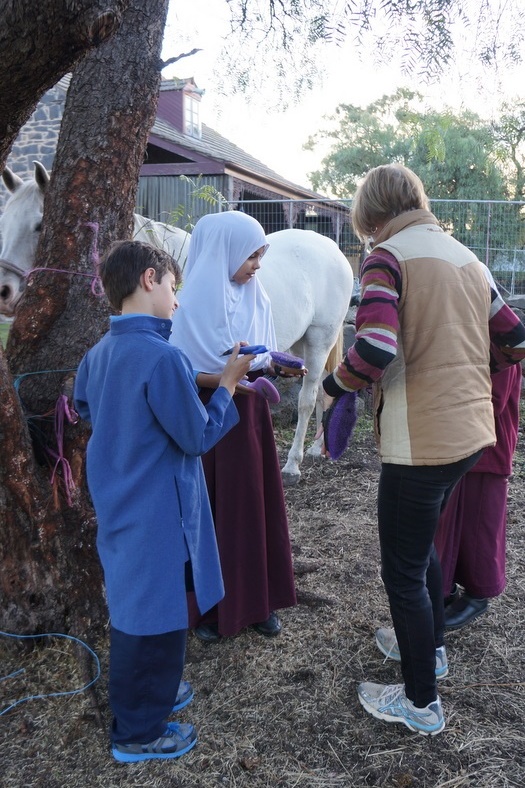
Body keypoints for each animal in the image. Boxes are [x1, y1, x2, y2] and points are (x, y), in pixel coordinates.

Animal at [2, 164, 354, 484]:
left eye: (40, 225)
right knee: (321, 389)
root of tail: (331, 248)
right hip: (301, 344)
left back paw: (293, 464)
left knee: (308, 397)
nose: (4, 292)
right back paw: (317, 447)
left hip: (319, 339)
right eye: (4, 223)